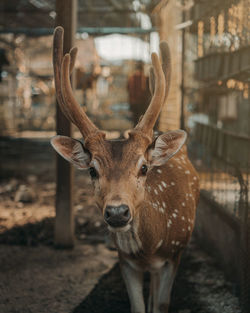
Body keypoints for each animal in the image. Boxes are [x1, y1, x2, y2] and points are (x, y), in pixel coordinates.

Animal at [50, 26, 199, 312]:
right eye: (92, 170)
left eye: (144, 167)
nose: (118, 212)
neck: (149, 248)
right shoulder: (125, 261)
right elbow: (138, 306)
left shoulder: (175, 253)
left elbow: (161, 304)